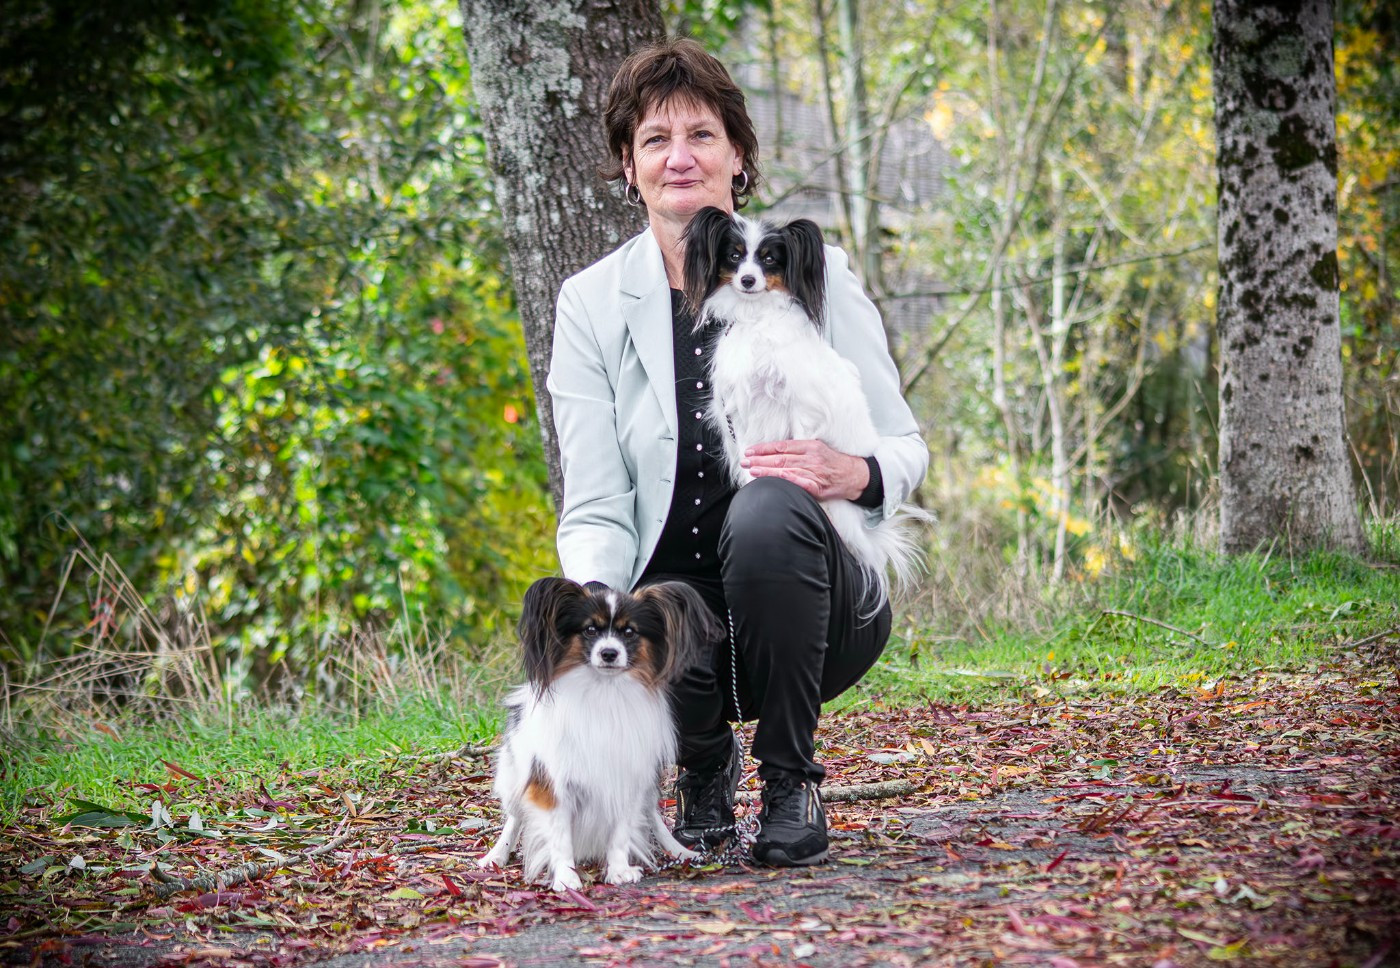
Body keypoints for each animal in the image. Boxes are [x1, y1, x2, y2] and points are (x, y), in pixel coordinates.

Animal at [478, 577, 722, 891]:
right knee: (514, 818)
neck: (604, 691)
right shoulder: (554, 784)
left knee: (652, 817)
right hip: (515, 777)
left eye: (629, 632)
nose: (609, 653)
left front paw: (619, 870)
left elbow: (621, 833)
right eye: (590, 630)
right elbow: (559, 836)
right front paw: (566, 876)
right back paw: (496, 855)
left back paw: (680, 851)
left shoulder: (626, 779)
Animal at [682, 205, 925, 611]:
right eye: (734, 255)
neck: (757, 318)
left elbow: (798, 444)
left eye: (769, 259)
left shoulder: (801, 406)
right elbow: (748, 460)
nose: (748, 280)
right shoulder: (742, 413)